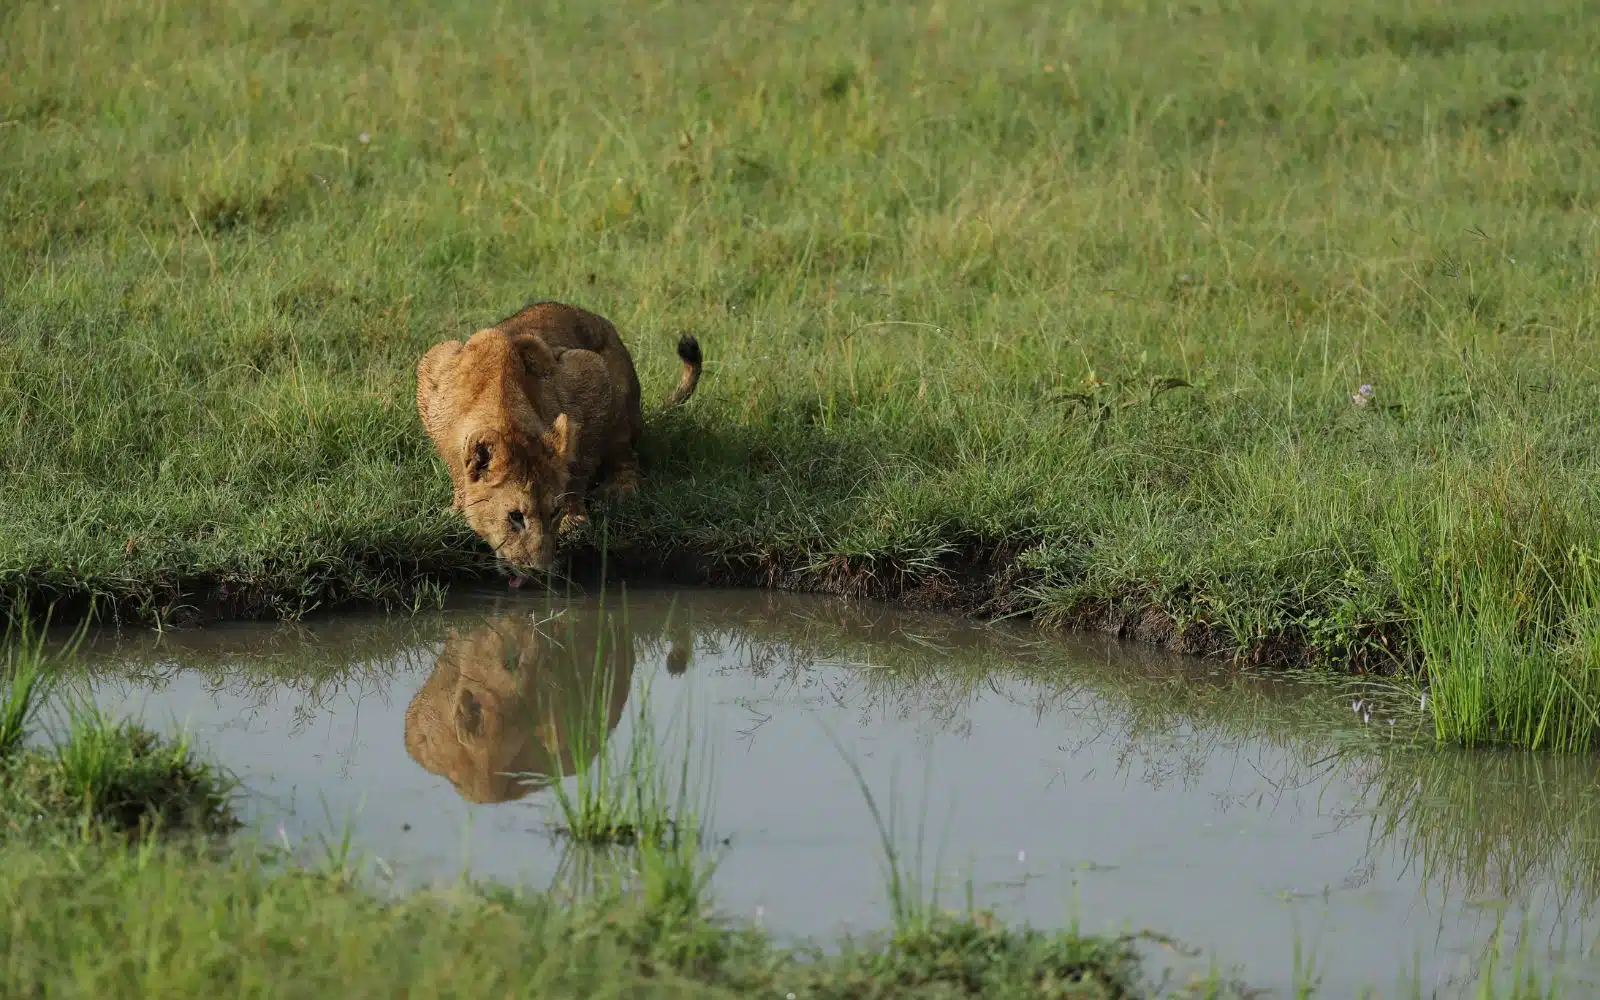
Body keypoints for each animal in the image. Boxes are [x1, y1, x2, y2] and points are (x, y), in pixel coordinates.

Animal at [415, 300, 702, 576]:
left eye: (553, 512)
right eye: (515, 516)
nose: (539, 570)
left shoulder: (590, 371)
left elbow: (581, 464)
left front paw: (573, 521)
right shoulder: (435, 363)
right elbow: (457, 469)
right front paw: (457, 510)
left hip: (621, 400)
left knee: (627, 456)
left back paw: (618, 489)